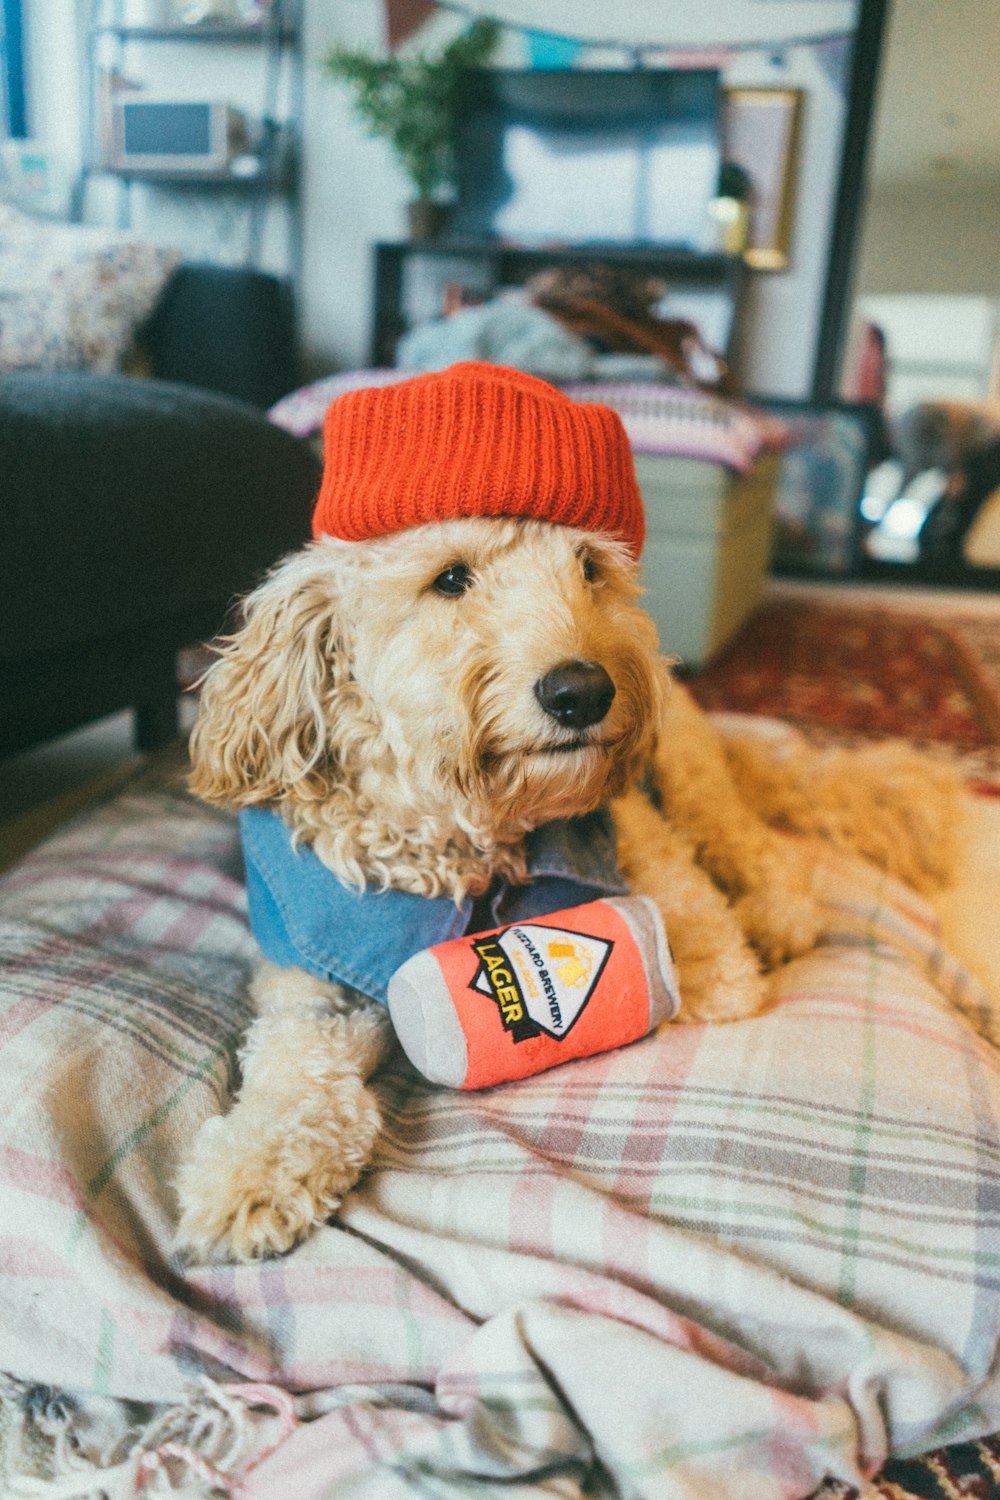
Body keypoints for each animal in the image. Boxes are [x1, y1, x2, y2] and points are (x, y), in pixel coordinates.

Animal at [176, 366, 965, 1266]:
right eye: (451, 578)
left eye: (589, 568)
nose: (583, 691)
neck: (474, 833)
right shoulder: (311, 970)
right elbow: (295, 1070)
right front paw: (251, 1171)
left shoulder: (639, 841)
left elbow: (692, 922)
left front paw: (710, 961)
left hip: (684, 767)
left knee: (756, 846)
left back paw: (775, 914)